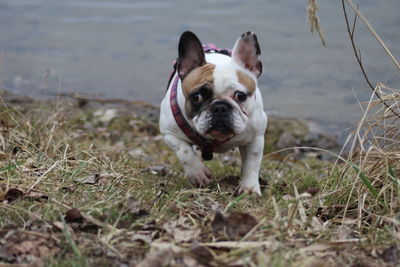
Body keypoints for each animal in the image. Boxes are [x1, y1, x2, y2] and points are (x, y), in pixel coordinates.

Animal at [159, 31, 266, 196]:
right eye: (196, 97)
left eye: (240, 96)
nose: (220, 107)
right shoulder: (169, 132)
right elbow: (184, 151)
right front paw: (198, 173)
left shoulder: (256, 138)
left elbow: (251, 164)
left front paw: (250, 188)